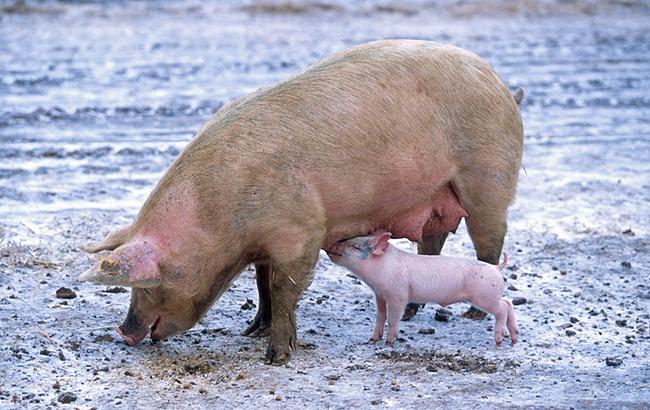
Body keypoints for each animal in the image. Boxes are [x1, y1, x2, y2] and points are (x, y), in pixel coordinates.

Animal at [326, 231, 520, 346]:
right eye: (350, 240)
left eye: (355, 246)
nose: (330, 245)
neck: (383, 267)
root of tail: (496, 268)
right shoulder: (380, 294)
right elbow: (380, 316)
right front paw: (372, 340)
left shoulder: (398, 295)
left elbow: (393, 318)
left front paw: (388, 343)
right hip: (491, 295)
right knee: (508, 302)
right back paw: (513, 338)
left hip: (484, 296)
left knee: (502, 308)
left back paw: (499, 340)